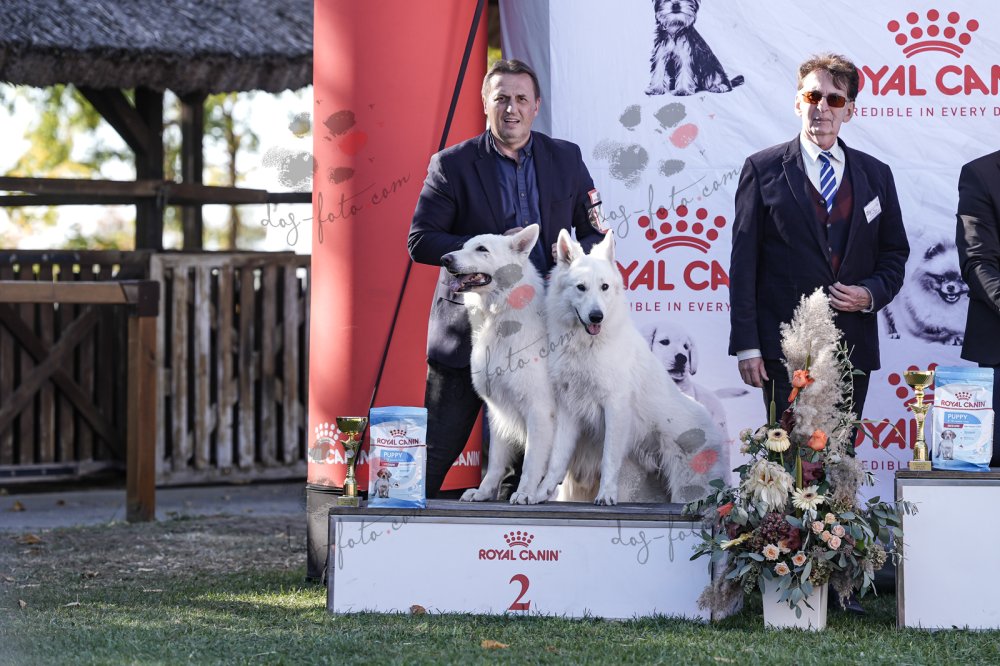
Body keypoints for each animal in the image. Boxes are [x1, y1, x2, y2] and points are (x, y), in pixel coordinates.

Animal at [440, 224, 556, 505]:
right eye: (463, 246)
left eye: (482, 249)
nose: (444, 259)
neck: (500, 316)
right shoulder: (498, 410)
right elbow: (494, 462)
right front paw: (483, 492)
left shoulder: (539, 411)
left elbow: (532, 461)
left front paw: (525, 493)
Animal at [536, 229, 727, 505]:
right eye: (581, 287)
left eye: (604, 287)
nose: (597, 316)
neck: (587, 345)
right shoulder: (569, 410)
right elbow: (557, 459)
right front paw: (539, 493)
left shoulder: (615, 408)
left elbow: (608, 459)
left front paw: (605, 495)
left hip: (687, 491)